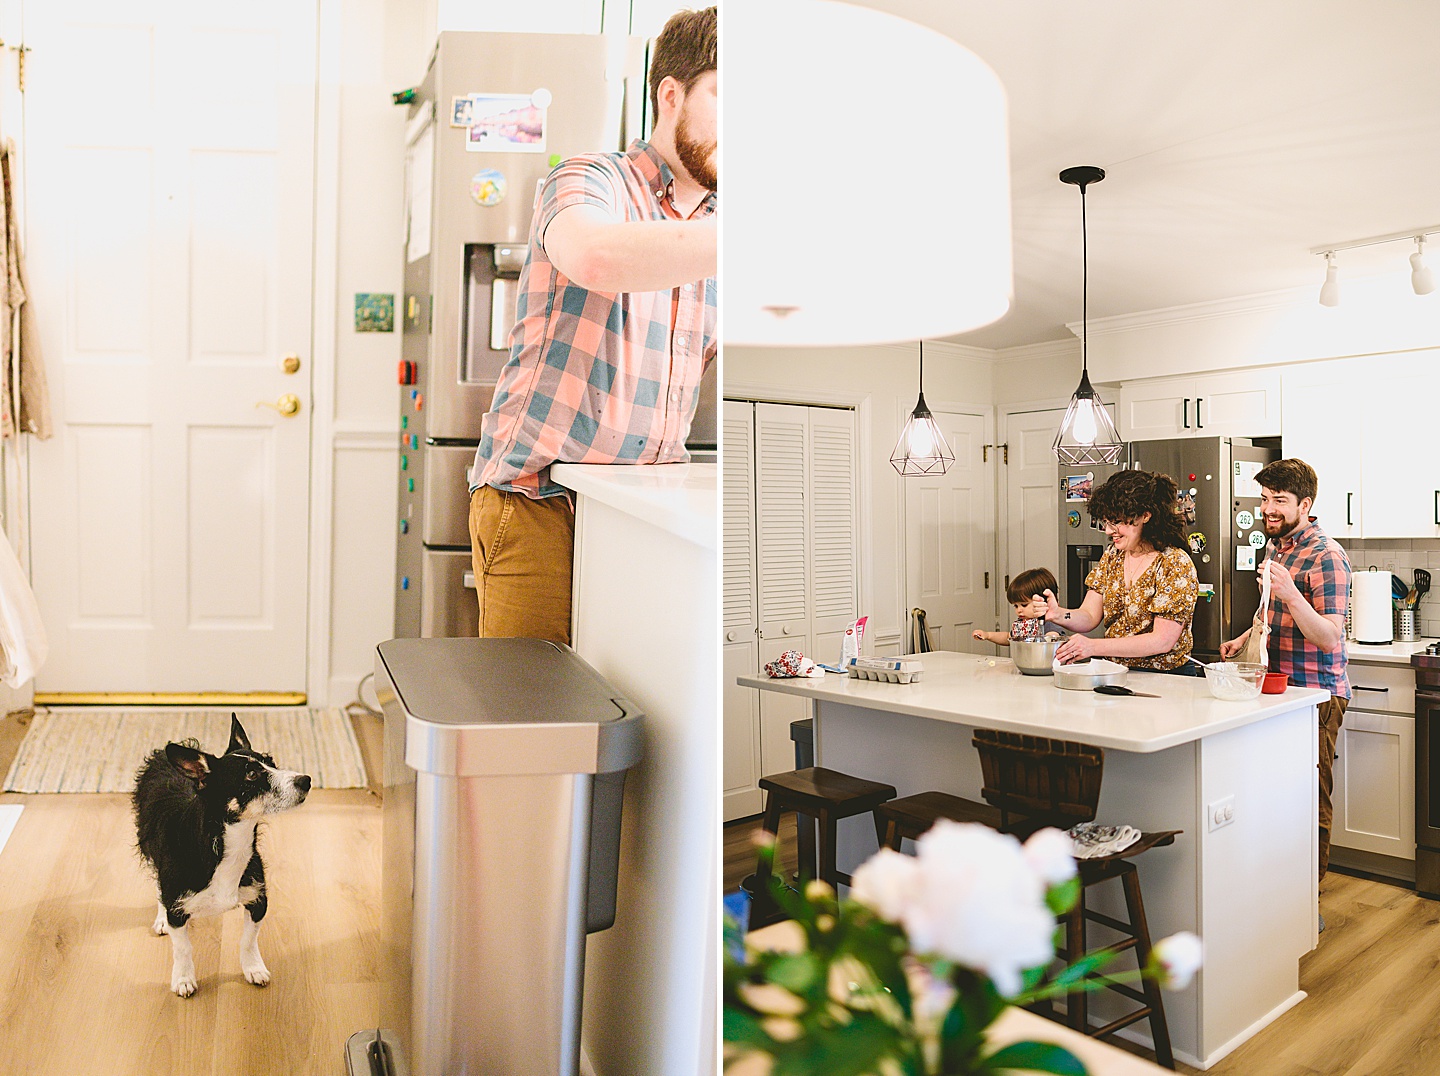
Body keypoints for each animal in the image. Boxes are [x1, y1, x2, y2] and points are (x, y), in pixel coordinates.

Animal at [133, 714, 312, 1002]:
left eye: (271, 762)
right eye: (251, 775)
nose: (306, 780)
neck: (231, 842)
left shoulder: (259, 900)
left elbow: (248, 940)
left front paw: (253, 968)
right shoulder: (177, 909)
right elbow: (182, 947)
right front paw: (183, 978)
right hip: (150, 847)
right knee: (158, 886)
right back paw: (160, 919)